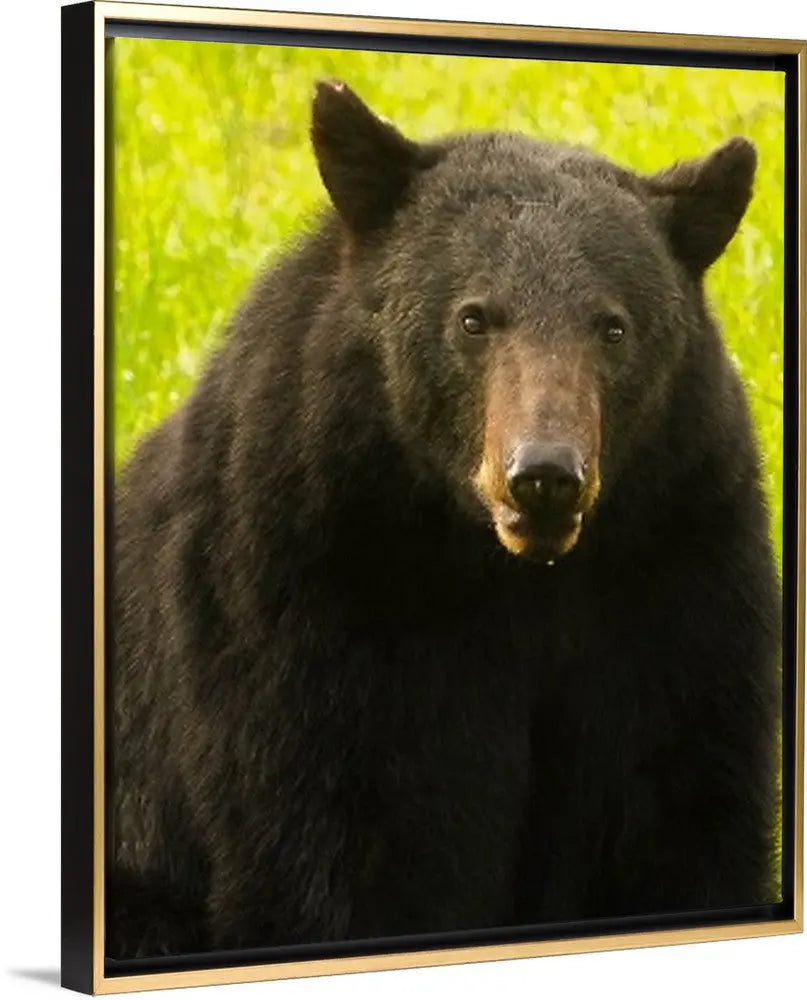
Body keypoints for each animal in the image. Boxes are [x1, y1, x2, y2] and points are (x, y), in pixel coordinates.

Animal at [108, 80, 782, 960]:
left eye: (613, 327)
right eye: (472, 318)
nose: (544, 478)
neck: (504, 573)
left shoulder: (679, 573)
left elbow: (682, 807)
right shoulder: (301, 595)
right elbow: (338, 839)